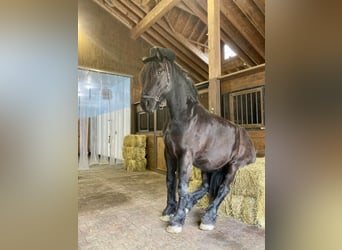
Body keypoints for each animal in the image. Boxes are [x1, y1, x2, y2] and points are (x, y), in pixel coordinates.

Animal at [140, 47, 256, 233]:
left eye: (159, 71)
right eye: (143, 74)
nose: (146, 104)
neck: (184, 117)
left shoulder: (186, 155)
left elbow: (182, 185)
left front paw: (177, 220)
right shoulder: (169, 153)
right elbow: (170, 181)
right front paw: (170, 210)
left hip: (233, 165)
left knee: (224, 189)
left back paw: (208, 218)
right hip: (207, 165)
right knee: (206, 186)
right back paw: (189, 205)